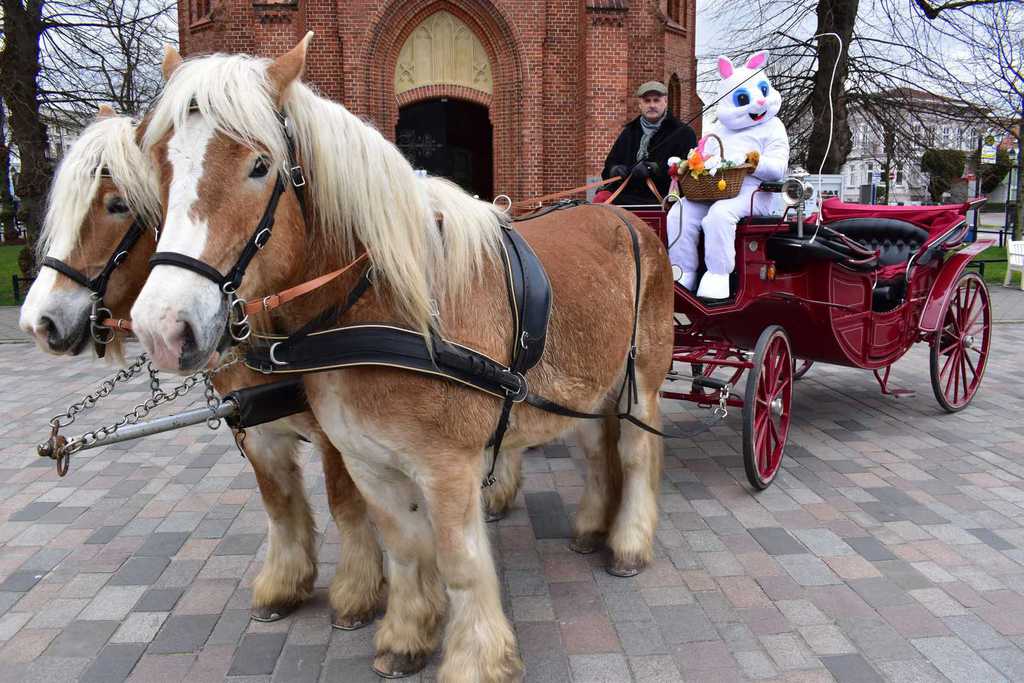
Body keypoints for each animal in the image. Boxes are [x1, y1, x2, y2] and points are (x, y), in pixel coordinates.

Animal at [18, 106, 388, 631]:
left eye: (116, 205)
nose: (38, 323)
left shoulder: (337, 431)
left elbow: (346, 502)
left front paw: (357, 593)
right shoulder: (255, 428)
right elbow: (279, 502)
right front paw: (284, 584)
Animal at [130, 36, 673, 681]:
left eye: (259, 165)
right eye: (159, 163)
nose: (164, 326)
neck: (388, 311)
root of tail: (620, 212)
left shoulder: (448, 467)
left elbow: (459, 561)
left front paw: (475, 660)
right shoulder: (368, 461)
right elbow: (407, 549)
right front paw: (407, 637)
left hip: (641, 377)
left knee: (636, 452)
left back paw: (629, 542)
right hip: (587, 384)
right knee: (593, 449)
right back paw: (592, 526)